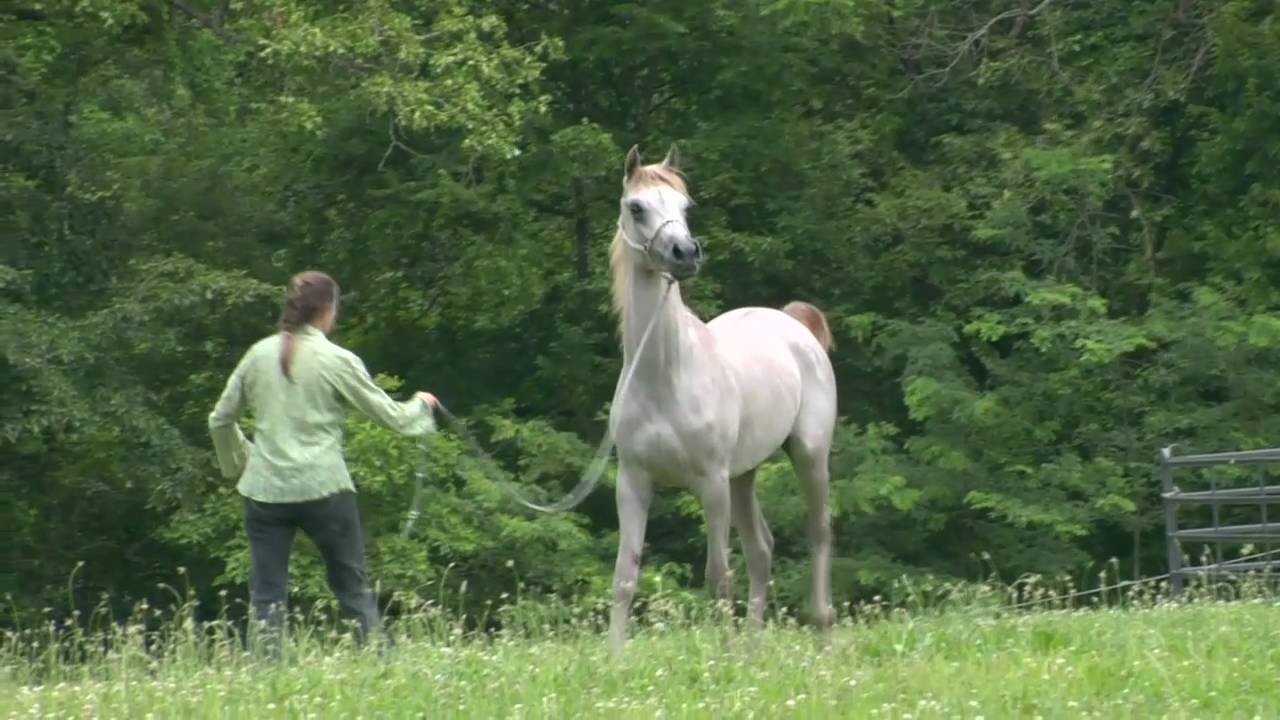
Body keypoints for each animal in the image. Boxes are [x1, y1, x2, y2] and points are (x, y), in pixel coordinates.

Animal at [606, 144, 838, 652]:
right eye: (637, 207)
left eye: (686, 206)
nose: (685, 253)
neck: (665, 376)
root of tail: (794, 323)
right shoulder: (633, 483)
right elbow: (625, 578)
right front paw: (614, 658)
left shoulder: (710, 484)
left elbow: (717, 576)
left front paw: (722, 656)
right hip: (743, 476)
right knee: (762, 549)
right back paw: (753, 645)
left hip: (808, 455)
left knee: (819, 532)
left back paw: (823, 633)